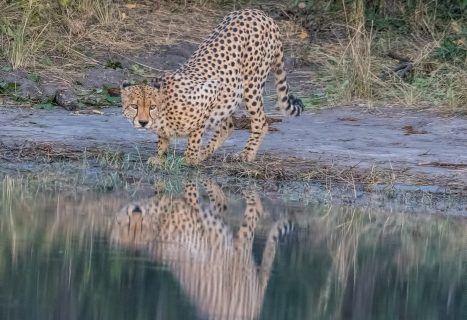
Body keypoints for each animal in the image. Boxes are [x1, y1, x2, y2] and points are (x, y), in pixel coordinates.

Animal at [110, 181, 292, 318]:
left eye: (118, 223)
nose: (111, 236)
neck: (153, 225)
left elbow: (193, 188)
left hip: (239, 253)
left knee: (255, 214)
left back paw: (250, 194)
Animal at [119, 10, 306, 165]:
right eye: (134, 106)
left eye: (152, 106)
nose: (143, 122)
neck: (164, 112)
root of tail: (259, 13)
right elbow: (163, 138)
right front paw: (160, 156)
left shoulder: (210, 92)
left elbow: (195, 134)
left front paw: (190, 157)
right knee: (228, 125)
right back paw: (205, 152)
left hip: (251, 85)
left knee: (260, 121)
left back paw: (246, 153)